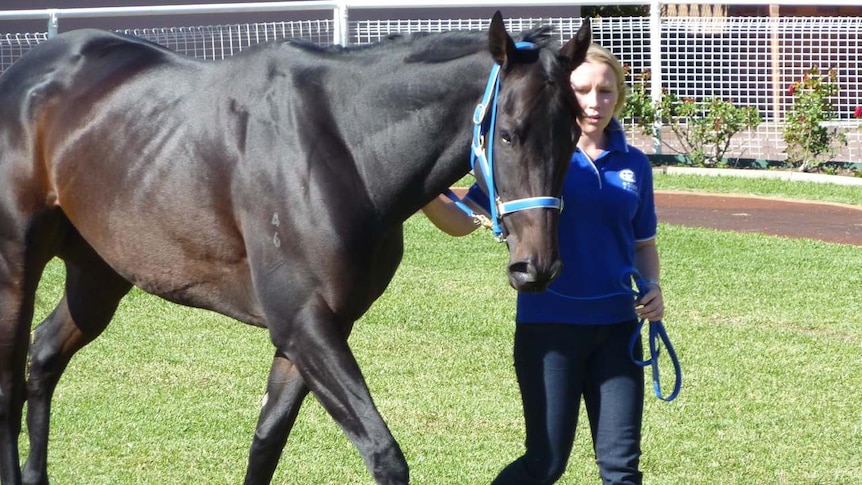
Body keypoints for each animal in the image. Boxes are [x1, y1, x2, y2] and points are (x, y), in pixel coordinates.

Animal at [0, 12, 592, 484]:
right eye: (509, 133)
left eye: (572, 135)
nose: (537, 267)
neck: (341, 144)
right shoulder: (301, 323)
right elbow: (384, 455)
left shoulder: (317, 329)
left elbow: (266, 443)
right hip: (17, 264)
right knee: (9, 381)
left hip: (99, 272)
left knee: (44, 355)